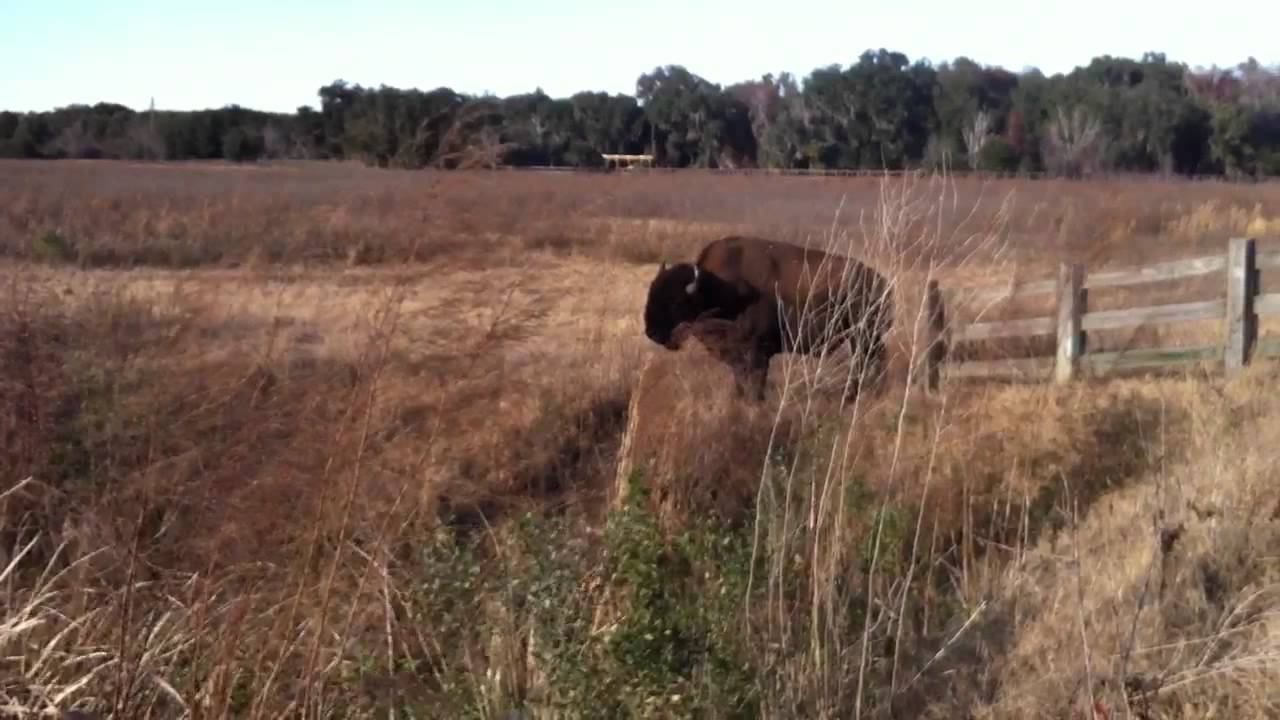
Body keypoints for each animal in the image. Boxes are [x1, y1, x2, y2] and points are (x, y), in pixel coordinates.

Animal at [643, 235, 894, 402]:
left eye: (676, 302)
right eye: (651, 293)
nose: (652, 332)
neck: (718, 288)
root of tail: (882, 282)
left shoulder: (756, 352)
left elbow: (756, 382)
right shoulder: (737, 356)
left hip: (863, 335)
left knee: (868, 360)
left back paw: (855, 395)